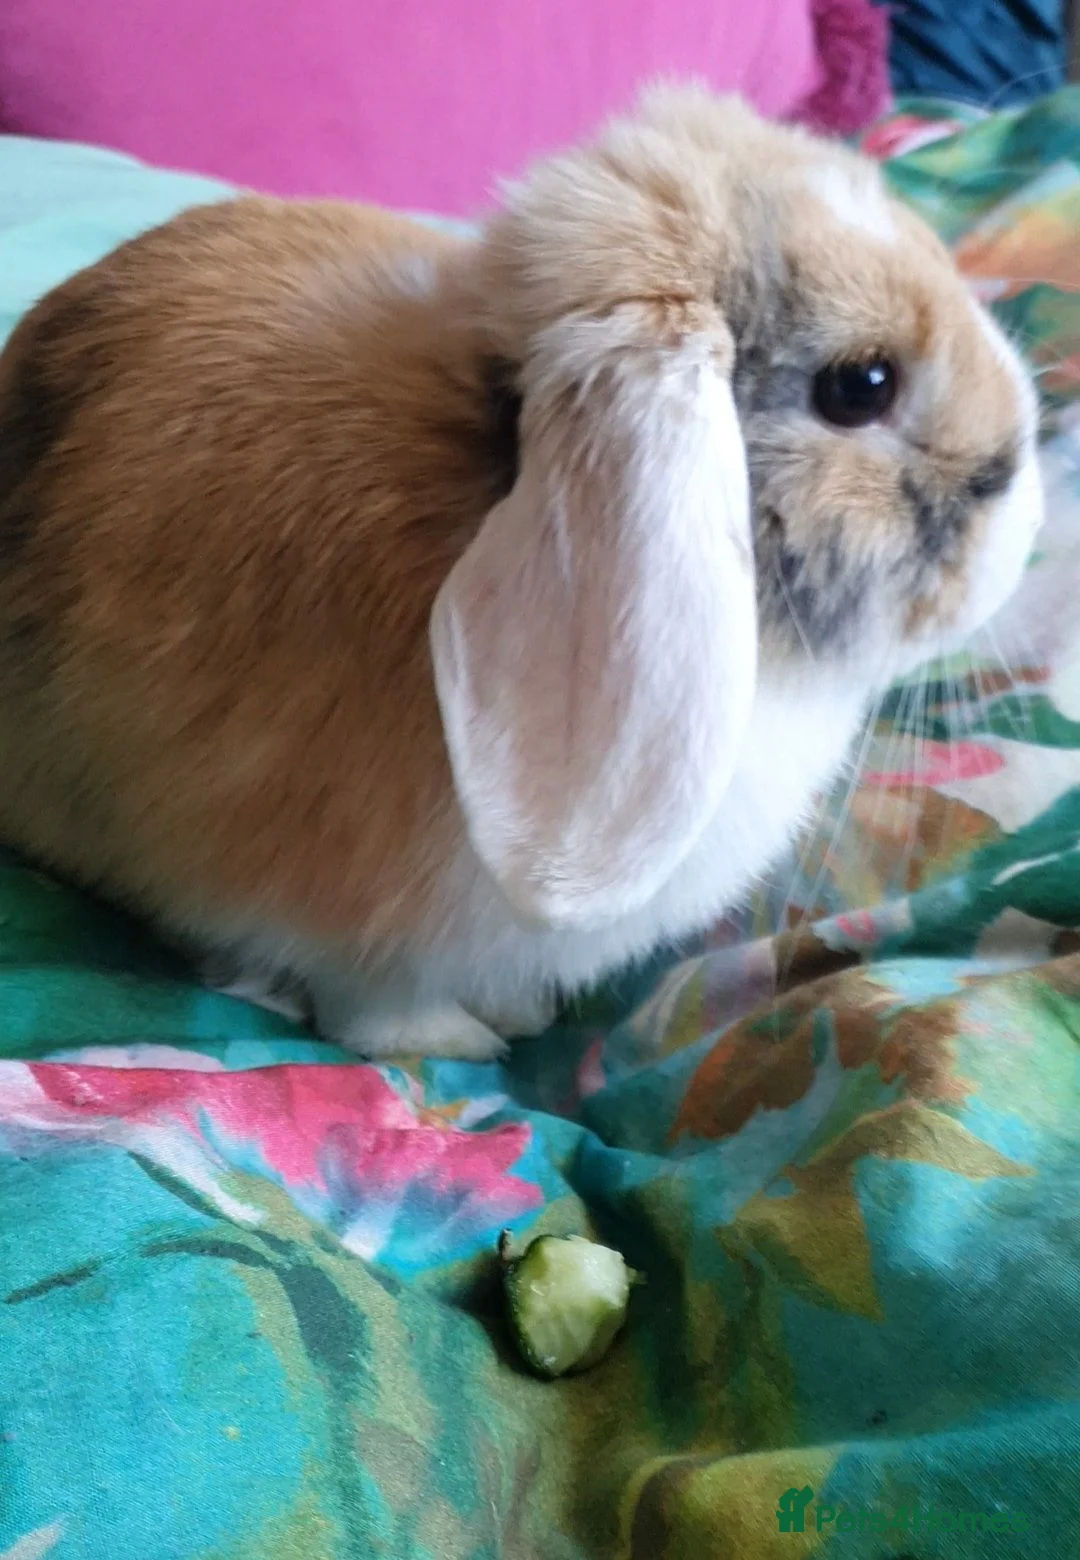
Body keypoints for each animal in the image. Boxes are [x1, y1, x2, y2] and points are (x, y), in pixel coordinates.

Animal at [0, 86, 1043, 1060]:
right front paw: (456, 1043)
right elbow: (370, 1002)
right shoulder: (342, 920)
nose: (1031, 515)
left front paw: (519, 1012)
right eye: (860, 386)